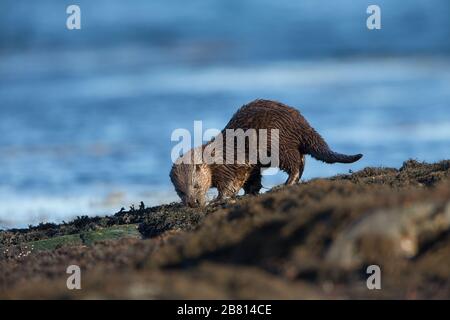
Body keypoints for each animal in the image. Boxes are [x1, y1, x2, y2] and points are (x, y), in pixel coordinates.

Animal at [170, 99, 362, 208]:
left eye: (196, 186)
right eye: (180, 191)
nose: (192, 203)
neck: (216, 158)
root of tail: (301, 123)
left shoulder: (232, 166)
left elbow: (230, 184)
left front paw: (219, 199)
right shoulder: (249, 168)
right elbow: (252, 179)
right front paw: (249, 193)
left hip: (278, 143)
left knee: (295, 163)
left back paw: (287, 183)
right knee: (301, 159)